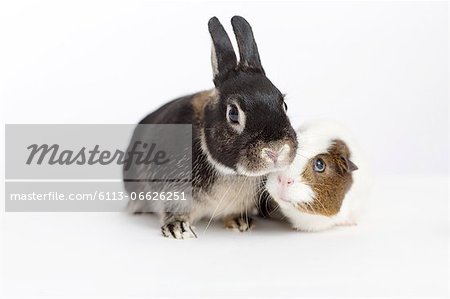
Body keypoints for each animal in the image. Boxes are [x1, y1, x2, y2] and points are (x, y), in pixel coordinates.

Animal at [123, 16, 298, 240]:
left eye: (283, 105)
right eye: (233, 113)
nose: (276, 150)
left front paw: (240, 223)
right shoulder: (174, 191)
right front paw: (179, 229)